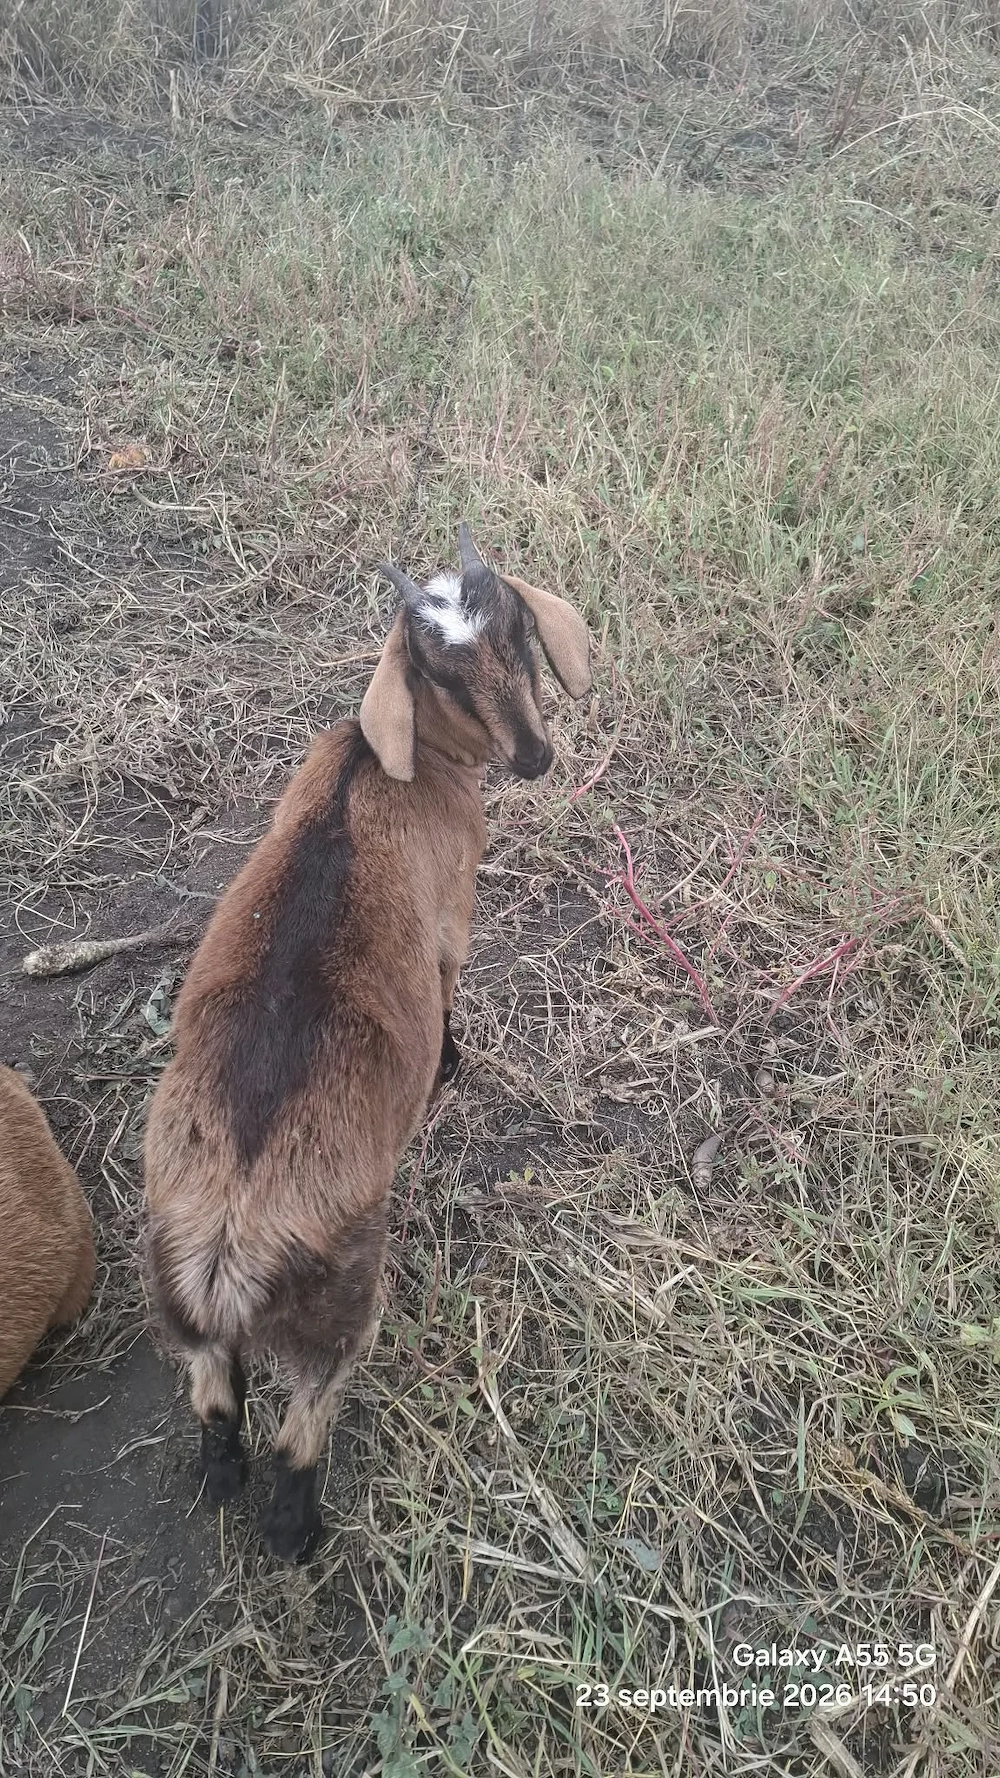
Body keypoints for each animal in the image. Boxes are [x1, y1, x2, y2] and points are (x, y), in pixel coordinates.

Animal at [143, 522, 592, 1562]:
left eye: (516, 632)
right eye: (443, 673)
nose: (536, 756)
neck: (386, 764)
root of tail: (229, 1232)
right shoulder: (454, 920)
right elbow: (450, 987)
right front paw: (453, 1064)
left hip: (177, 1299)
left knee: (214, 1403)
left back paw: (219, 1478)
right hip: (341, 1296)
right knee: (303, 1424)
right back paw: (297, 1531)